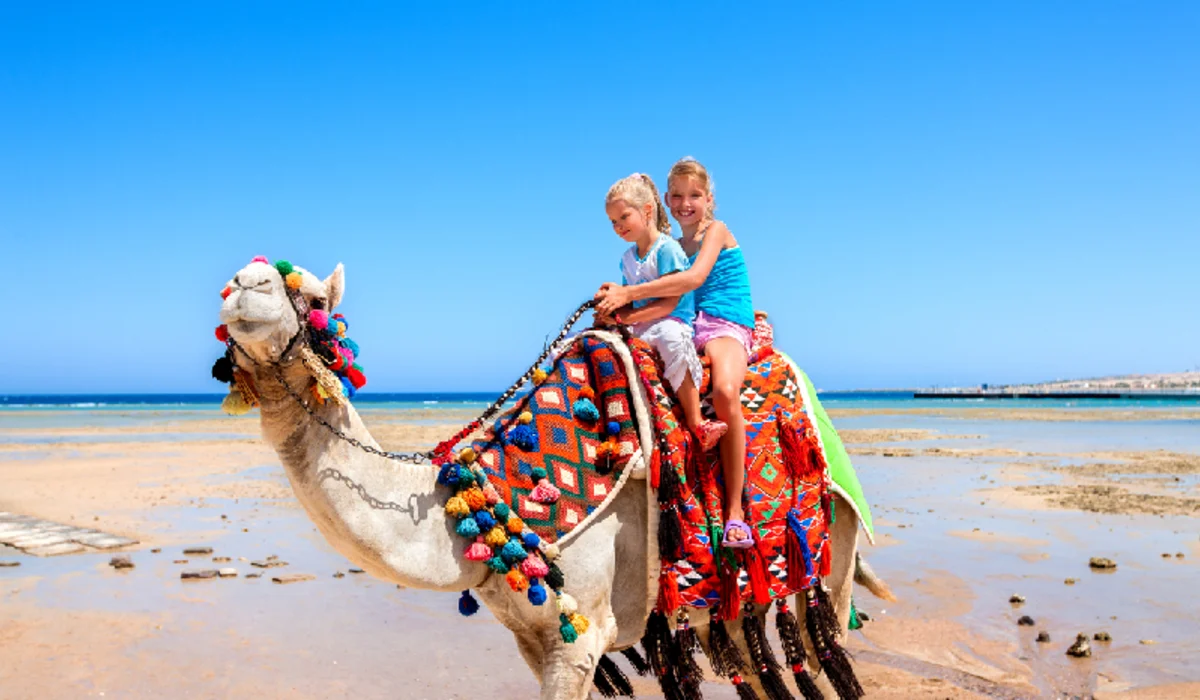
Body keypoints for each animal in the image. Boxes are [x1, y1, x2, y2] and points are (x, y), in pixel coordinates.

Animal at [219, 259, 892, 700]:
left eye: (314, 301)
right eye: (232, 284)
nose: (248, 283)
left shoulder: (579, 637)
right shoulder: (534, 639)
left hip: (829, 559)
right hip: (728, 600)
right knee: (754, 660)